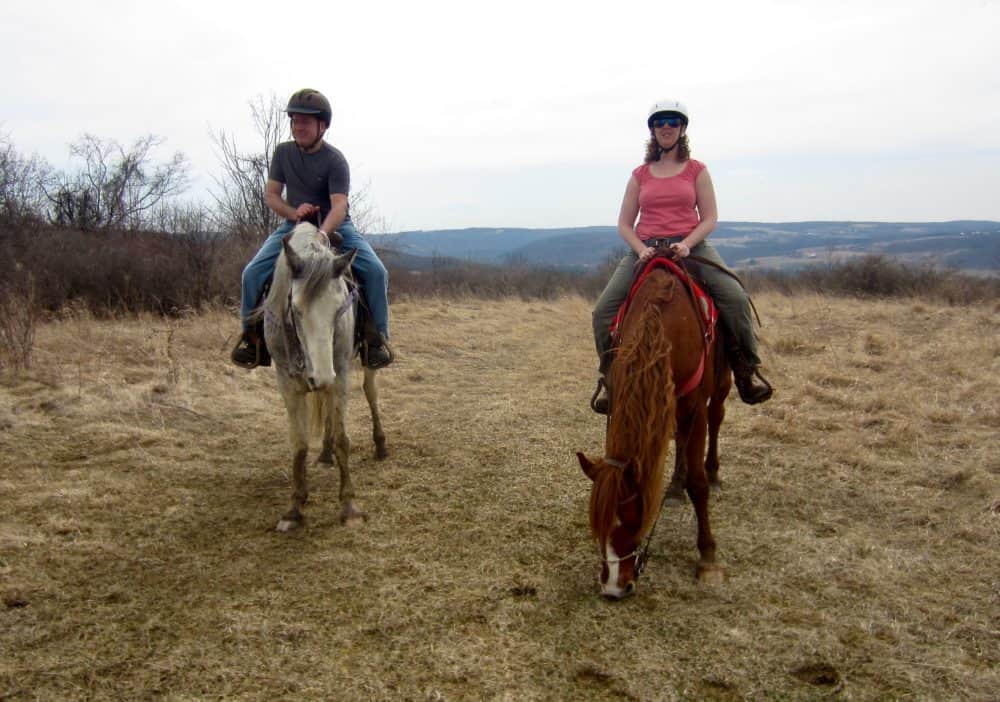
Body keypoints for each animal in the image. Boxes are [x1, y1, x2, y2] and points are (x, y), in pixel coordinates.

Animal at [252, 223, 384, 532]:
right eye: (296, 310)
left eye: (340, 308)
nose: (321, 375)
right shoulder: (287, 384)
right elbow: (299, 444)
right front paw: (294, 508)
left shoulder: (340, 375)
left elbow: (343, 439)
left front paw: (349, 508)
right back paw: (324, 453)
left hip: (364, 364)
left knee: (370, 392)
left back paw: (380, 443)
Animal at [576, 264, 732, 600]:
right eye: (597, 523)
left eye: (632, 521)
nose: (613, 588)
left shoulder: (695, 407)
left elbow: (698, 485)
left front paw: (708, 558)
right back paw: (674, 486)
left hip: (720, 382)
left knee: (717, 416)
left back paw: (713, 472)